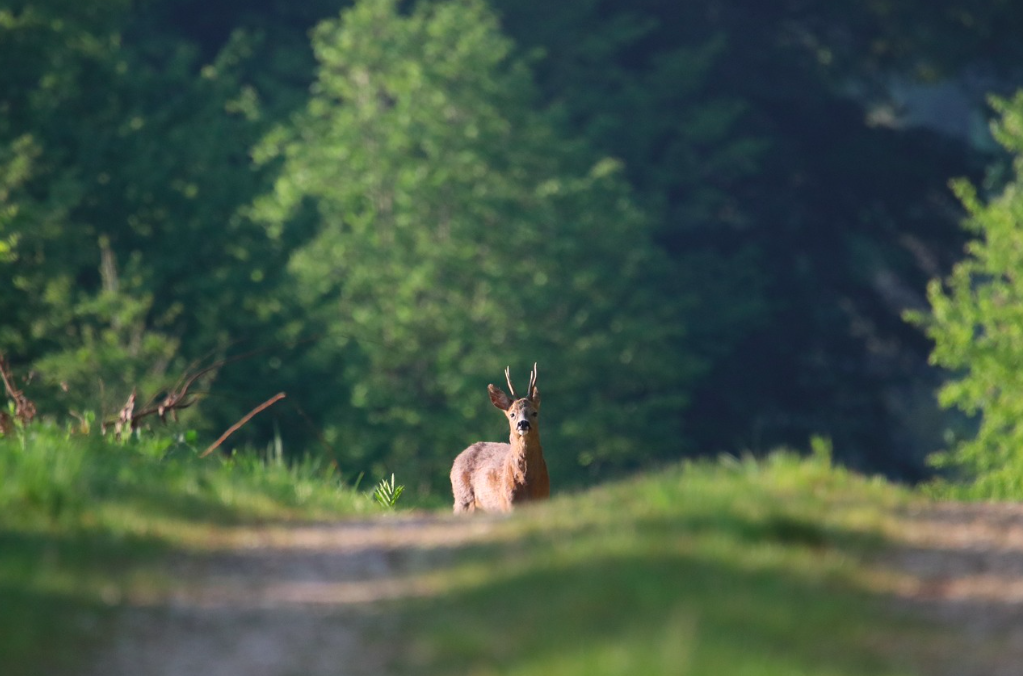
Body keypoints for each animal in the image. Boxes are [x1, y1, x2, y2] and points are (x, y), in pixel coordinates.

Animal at [450, 364, 548, 511]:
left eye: (535, 413)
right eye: (512, 414)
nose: (523, 423)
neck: (526, 482)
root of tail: (457, 459)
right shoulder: (508, 502)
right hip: (462, 499)